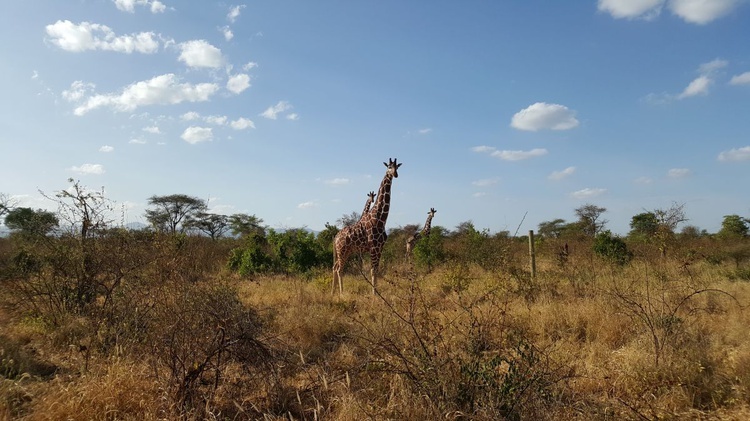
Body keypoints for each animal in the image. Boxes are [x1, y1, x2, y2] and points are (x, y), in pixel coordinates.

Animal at [334, 158, 402, 296]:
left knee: (338, 268)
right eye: (388, 167)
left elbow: (376, 270)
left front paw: (377, 292)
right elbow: (372, 270)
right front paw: (374, 295)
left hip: (347, 251)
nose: (395, 174)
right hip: (341, 250)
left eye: (397, 167)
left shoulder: (380, 247)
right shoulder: (373, 247)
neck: (380, 219)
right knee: (339, 269)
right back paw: (342, 293)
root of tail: (335, 238)